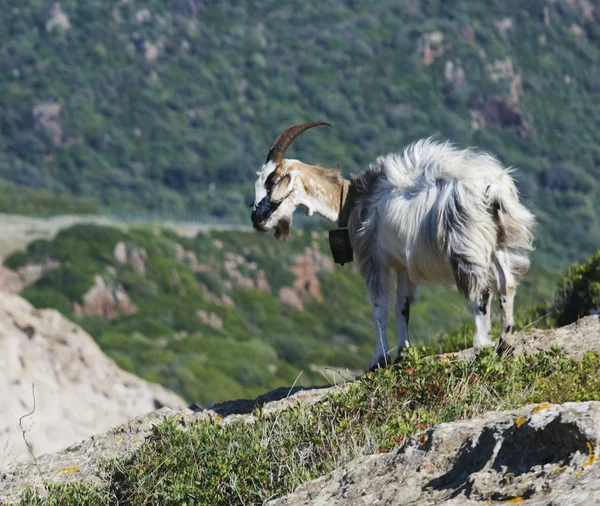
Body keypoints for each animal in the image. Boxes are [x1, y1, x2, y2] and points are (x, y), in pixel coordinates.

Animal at [250, 121, 536, 368]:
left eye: (272, 181)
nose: (255, 219)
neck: (352, 200)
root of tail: (492, 190)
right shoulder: (402, 265)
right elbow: (402, 308)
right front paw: (403, 353)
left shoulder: (373, 259)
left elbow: (380, 308)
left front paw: (378, 360)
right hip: (500, 242)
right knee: (507, 285)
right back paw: (504, 344)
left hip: (466, 245)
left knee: (481, 294)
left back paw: (479, 350)